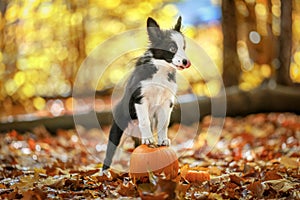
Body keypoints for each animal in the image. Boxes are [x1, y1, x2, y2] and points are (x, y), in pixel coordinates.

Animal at [103, 16, 191, 170]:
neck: (160, 71)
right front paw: (149, 138)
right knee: (109, 156)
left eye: (183, 48)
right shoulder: (140, 98)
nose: (186, 62)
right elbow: (144, 121)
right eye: (172, 48)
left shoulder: (166, 103)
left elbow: (164, 123)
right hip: (118, 132)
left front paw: (162, 140)